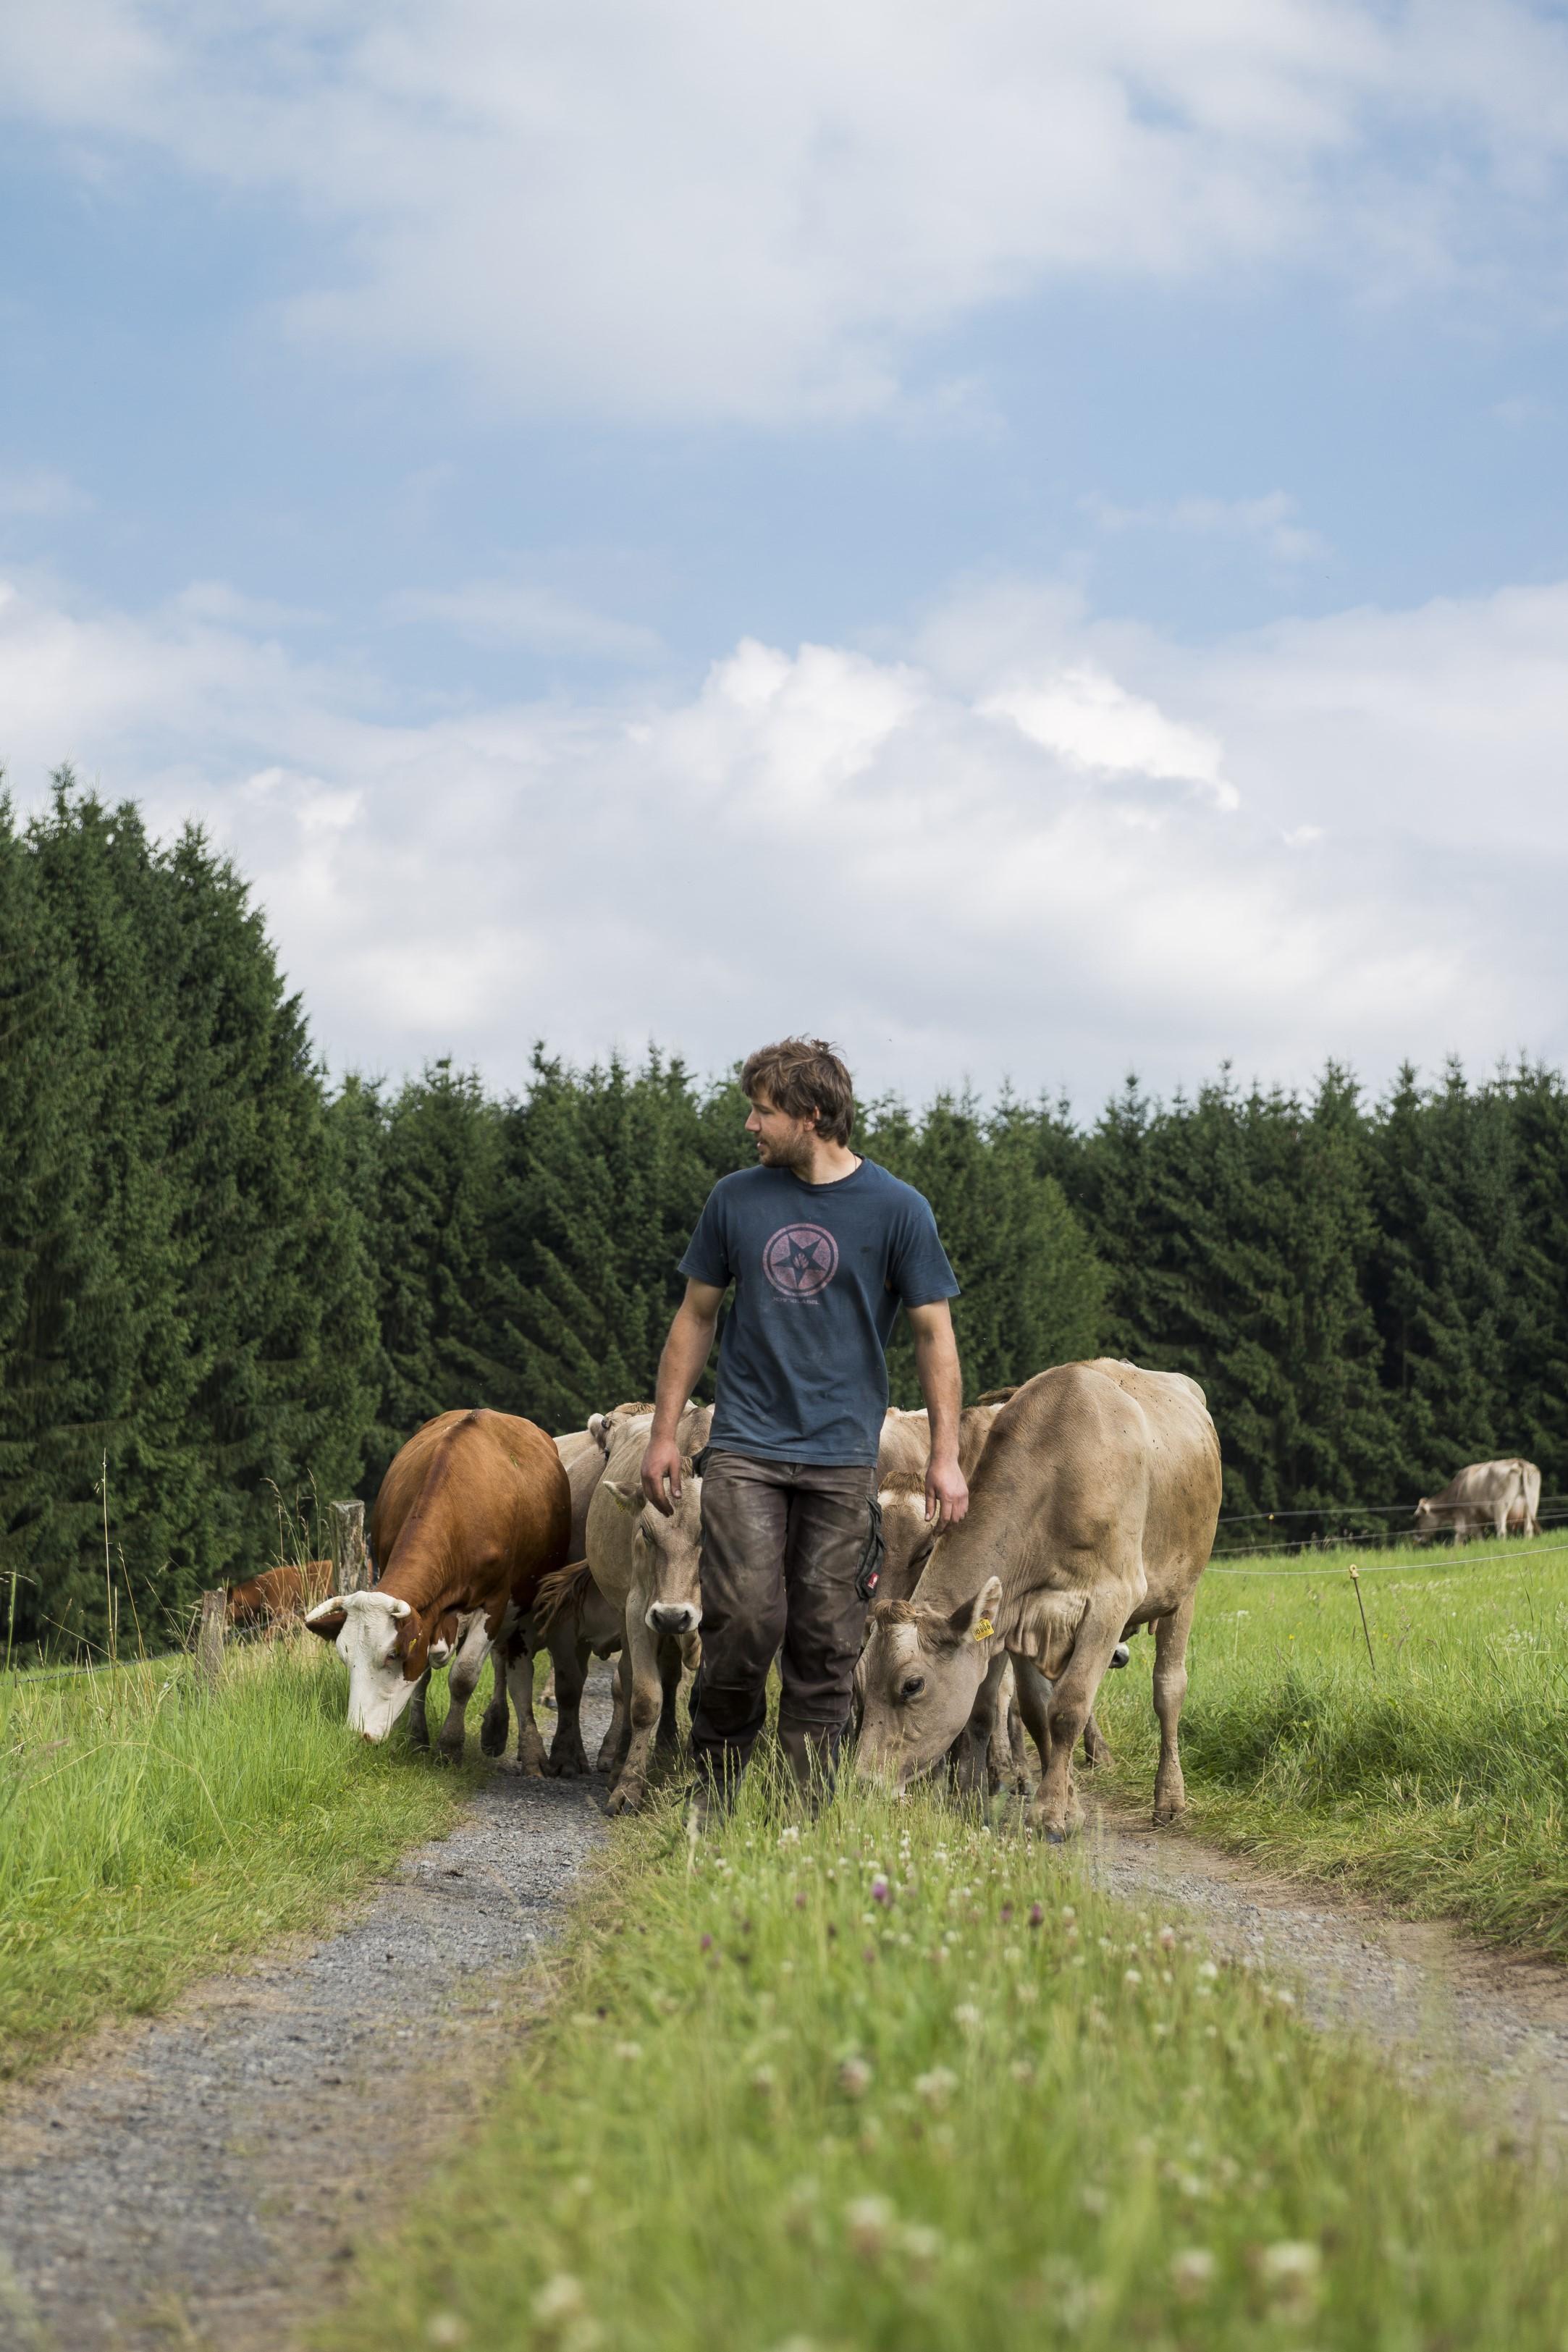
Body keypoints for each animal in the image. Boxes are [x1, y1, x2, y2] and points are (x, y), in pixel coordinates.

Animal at [305, 1401, 571, 1759]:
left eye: (391, 1655)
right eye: (346, 1658)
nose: (359, 1734)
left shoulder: (495, 1602)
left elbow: (464, 1676)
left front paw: (450, 1744)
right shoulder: (427, 1616)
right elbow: (422, 1677)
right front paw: (418, 1737)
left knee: (505, 1659)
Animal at [585, 1411, 715, 1816]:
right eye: (645, 1532)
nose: (673, 1616)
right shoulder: (639, 1606)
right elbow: (645, 1698)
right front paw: (628, 1787)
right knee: (628, 1679)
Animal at [851, 1373, 1222, 1844]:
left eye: (911, 1686)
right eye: (860, 1685)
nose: (862, 1783)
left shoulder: (1110, 1603)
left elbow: (1068, 1708)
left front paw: (1049, 1812)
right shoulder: (1021, 1617)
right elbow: (1024, 1710)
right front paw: (1001, 1800)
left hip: (1182, 1590)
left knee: (1169, 1689)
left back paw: (1169, 1799)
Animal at [1410, 1458, 1542, 1552]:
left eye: (1417, 1517)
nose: (1416, 1538)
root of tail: (1519, 1462)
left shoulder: (1468, 1515)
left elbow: (1468, 1535)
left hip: (1501, 1506)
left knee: (1502, 1530)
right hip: (1532, 1503)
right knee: (1528, 1529)